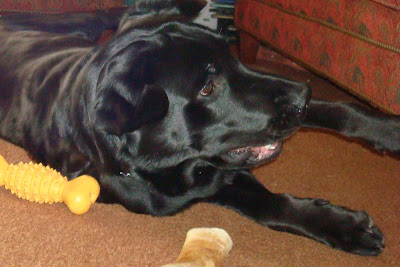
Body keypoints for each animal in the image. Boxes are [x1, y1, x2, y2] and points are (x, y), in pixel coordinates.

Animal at [0, 0, 398, 258]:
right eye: (207, 87)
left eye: (233, 58)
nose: (304, 93)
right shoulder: (201, 183)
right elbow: (269, 205)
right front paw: (345, 227)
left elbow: (338, 109)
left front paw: (385, 130)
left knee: (102, 14)